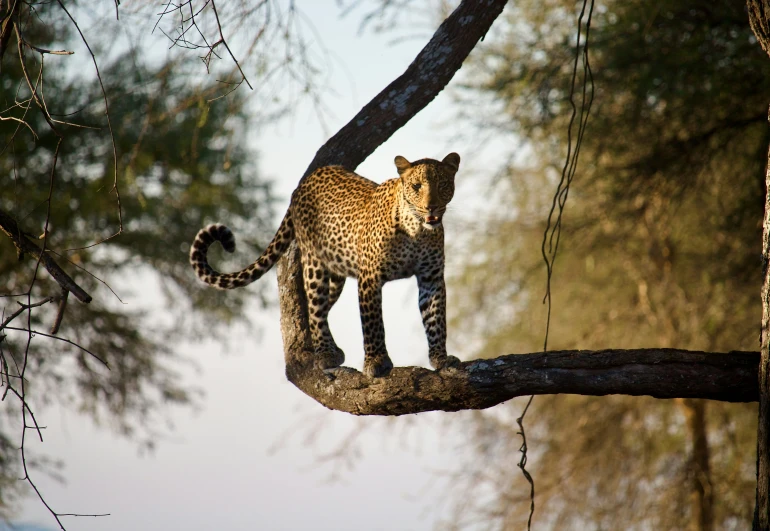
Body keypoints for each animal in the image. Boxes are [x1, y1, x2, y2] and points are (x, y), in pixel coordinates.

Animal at [188, 154, 460, 378]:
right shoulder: (370, 278)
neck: (417, 230)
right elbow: (373, 324)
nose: (431, 207)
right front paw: (376, 361)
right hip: (313, 263)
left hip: (336, 273)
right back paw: (325, 353)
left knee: (318, 309)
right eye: (417, 186)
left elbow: (436, 319)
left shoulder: (431, 277)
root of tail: (304, 182)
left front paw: (441, 358)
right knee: (316, 308)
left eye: (443, 185)